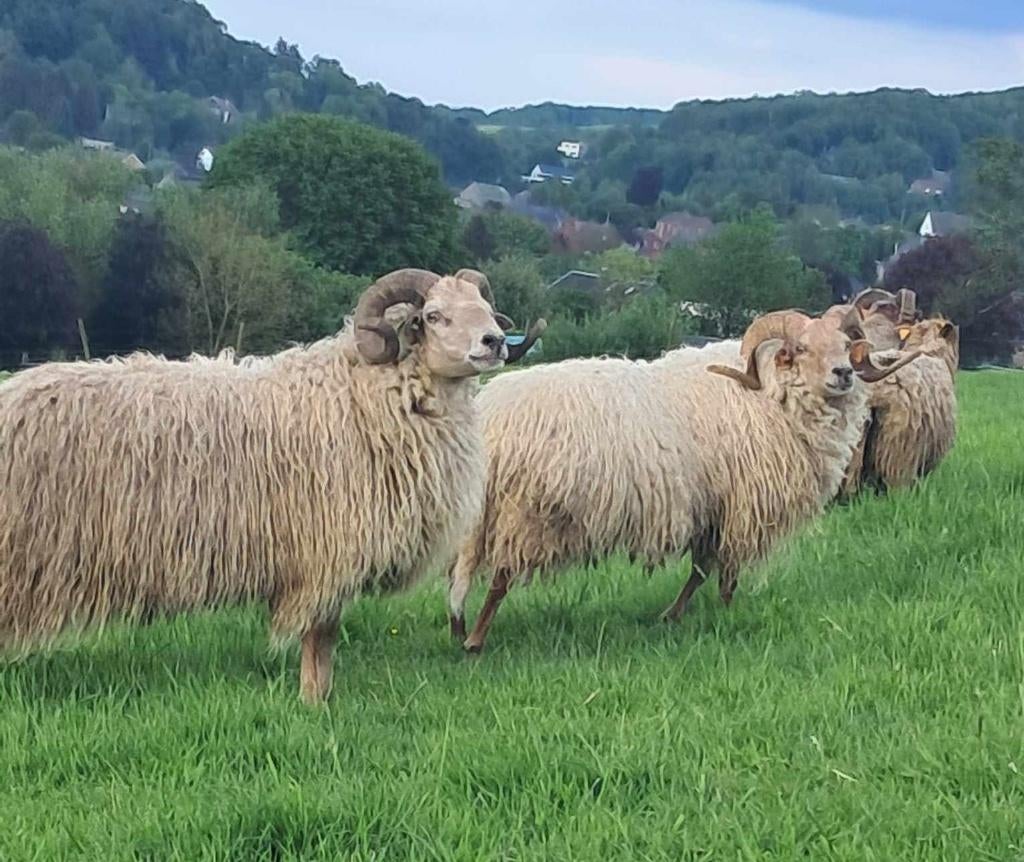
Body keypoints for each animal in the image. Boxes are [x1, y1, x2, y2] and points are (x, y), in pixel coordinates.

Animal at [0, 268, 542, 703]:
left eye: (484, 309)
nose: (494, 342)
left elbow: (325, 638)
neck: (365, 393)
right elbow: (319, 637)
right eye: (433, 316)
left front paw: (320, 696)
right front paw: (313, 701)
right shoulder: (326, 554)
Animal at [447, 308, 921, 652]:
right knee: (499, 579)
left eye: (845, 345)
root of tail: (493, 416)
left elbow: (700, 568)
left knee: (460, 575)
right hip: (526, 514)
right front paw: (726, 612)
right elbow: (727, 570)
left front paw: (672, 616)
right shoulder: (743, 502)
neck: (769, 391)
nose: (844, 373)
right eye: (801, 347)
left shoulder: (712, 507)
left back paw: (458, 628)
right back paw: (474, 641)